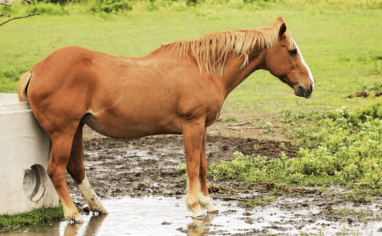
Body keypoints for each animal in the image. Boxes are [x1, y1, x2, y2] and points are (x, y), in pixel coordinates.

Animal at [16, 17, 314, 223]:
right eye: (292, 51)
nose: (309, 86)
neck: (204, 69)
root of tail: (36, 70)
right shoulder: (191, 125)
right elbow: (192, 167)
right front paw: (194, 208)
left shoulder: (202, 128)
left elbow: (203, 166)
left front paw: (208, 204)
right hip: (64, 131)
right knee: (56, 170)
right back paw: (73, 214)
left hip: (76, 128)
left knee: (75, 168)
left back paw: (97, 207)